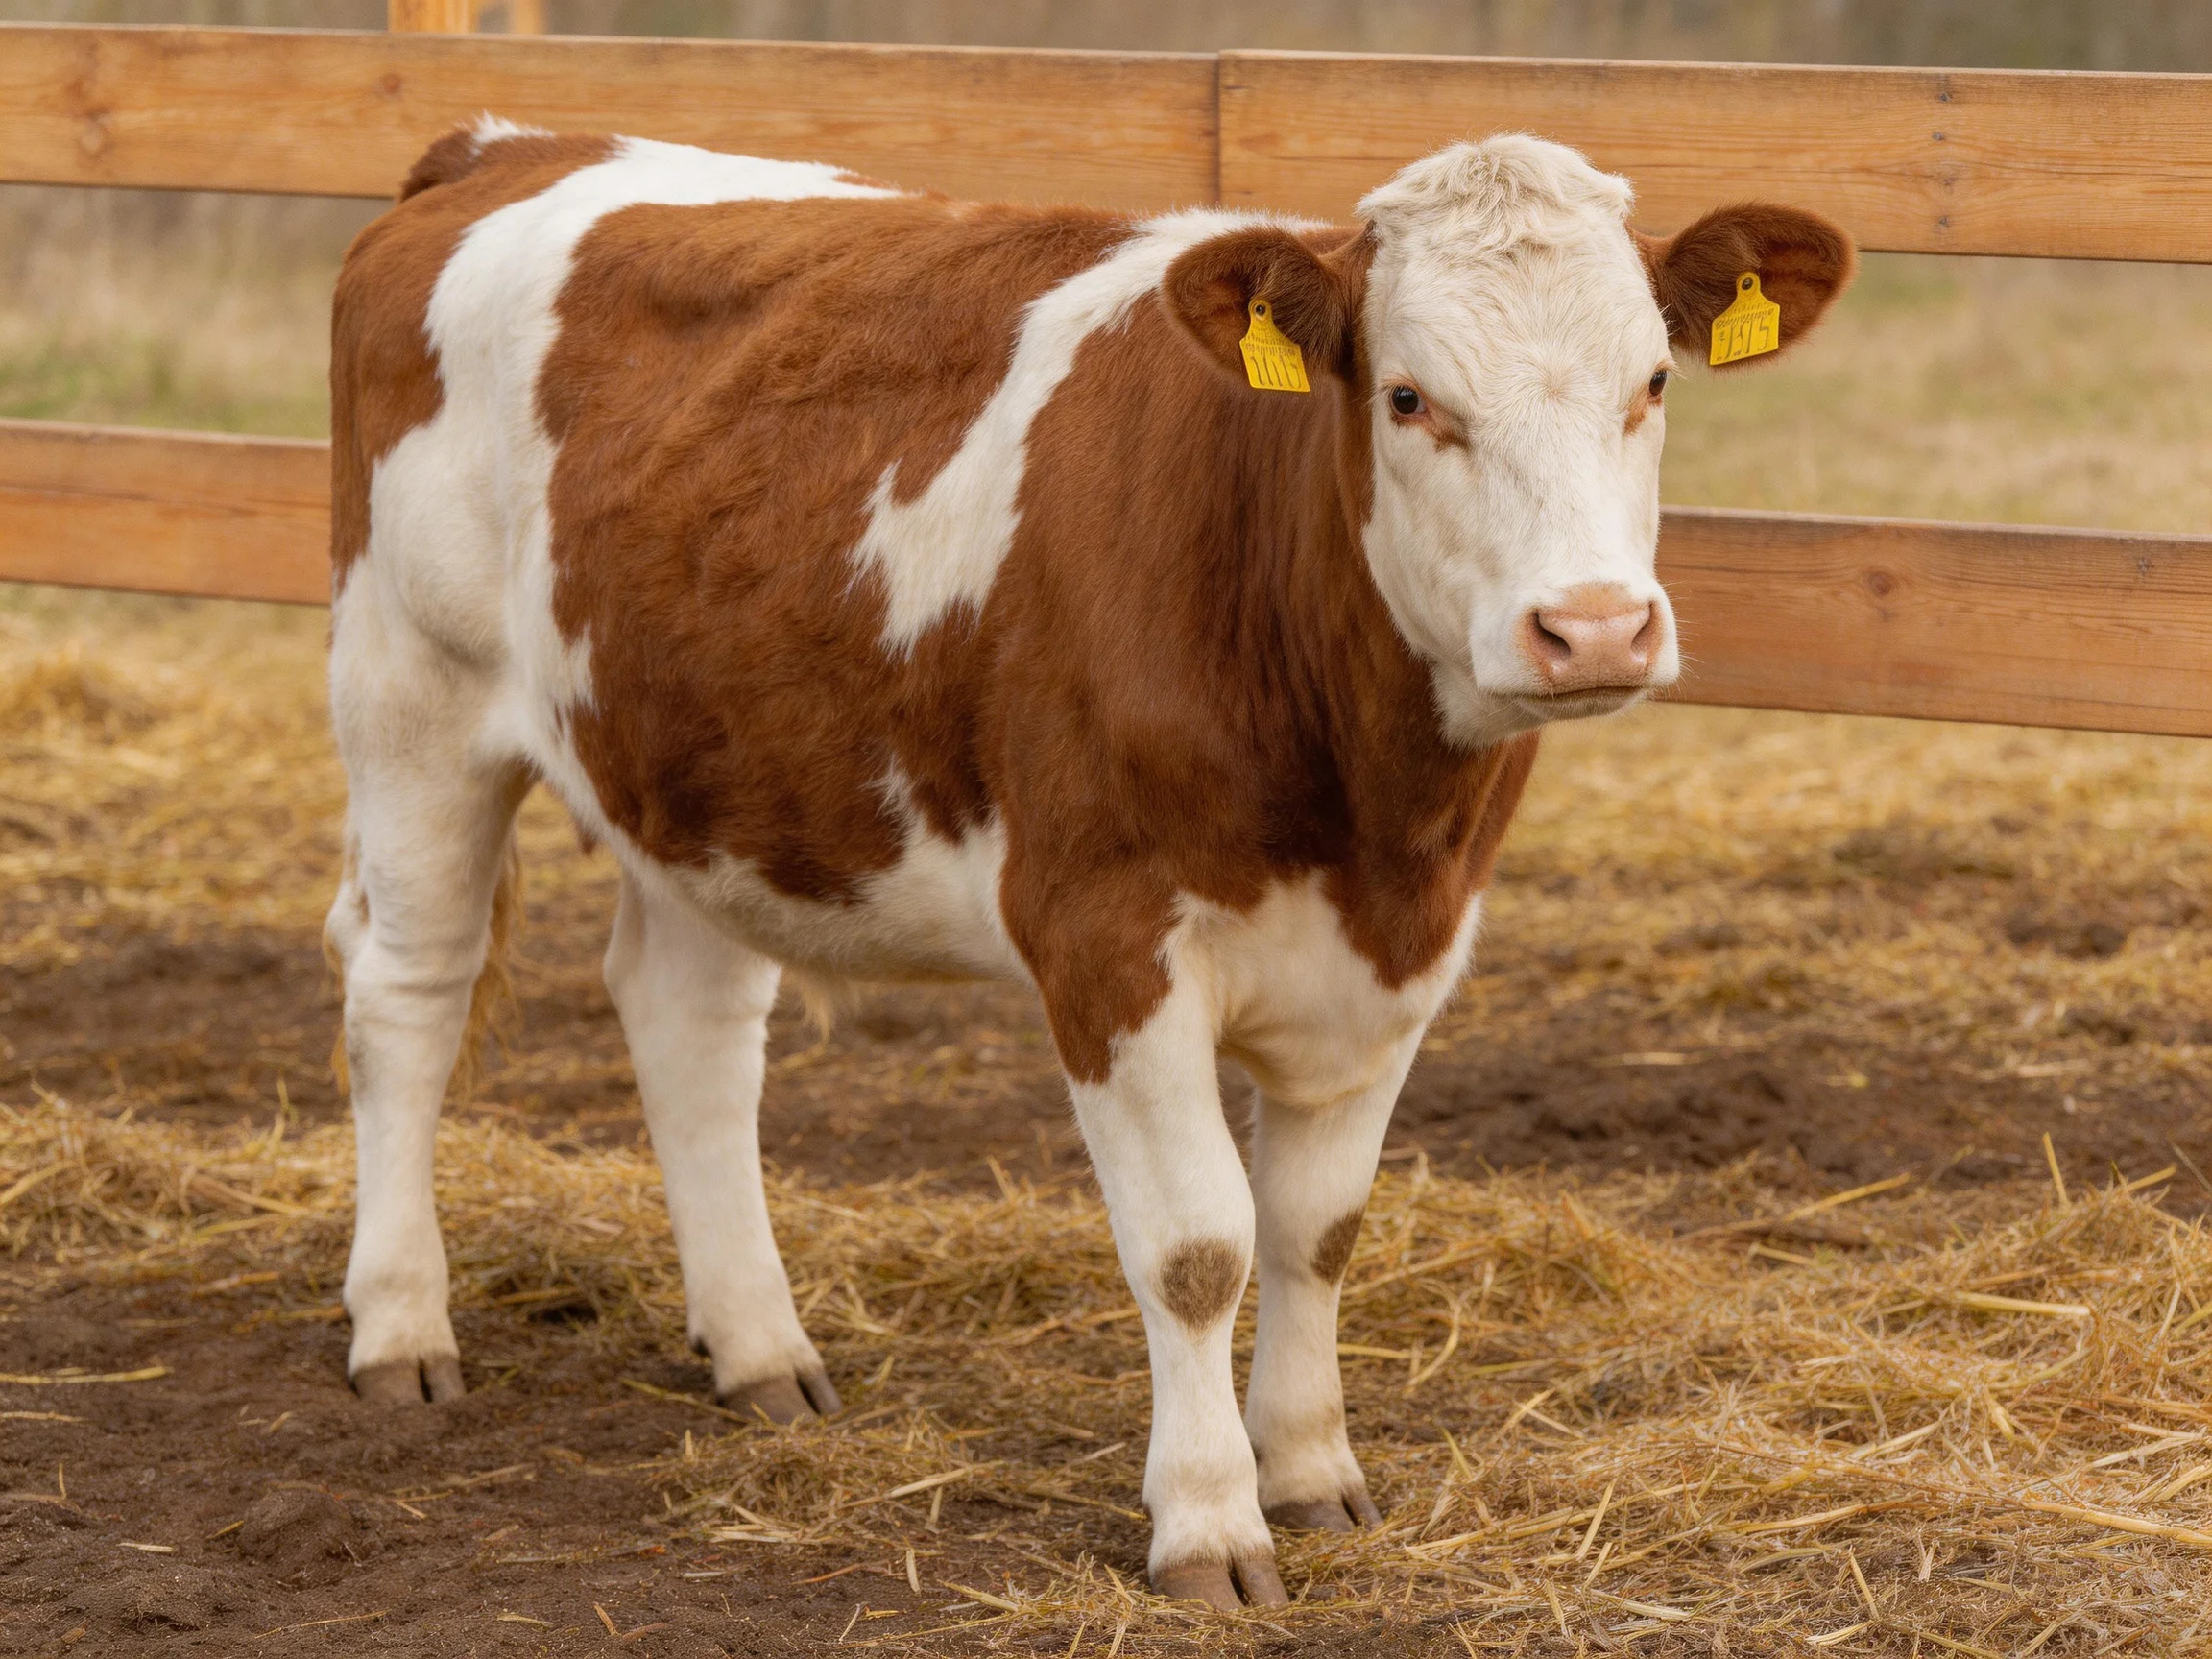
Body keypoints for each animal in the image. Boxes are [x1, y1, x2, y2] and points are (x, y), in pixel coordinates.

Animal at [324, 119, 1852, 1609]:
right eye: (1412, 399)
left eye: (1653, 380)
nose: (1592, 628)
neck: (1364, 815)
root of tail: (501, 146)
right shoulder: (1107, 936)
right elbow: (1197, 1246)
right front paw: (1211, 1525)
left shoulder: (1407, 949)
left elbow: (1318, 1228)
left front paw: (1314, 1474)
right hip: (411, 696)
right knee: (408, 995)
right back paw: (399, 1327)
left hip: (697, 769)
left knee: (687, 1022)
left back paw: (761, 1351)